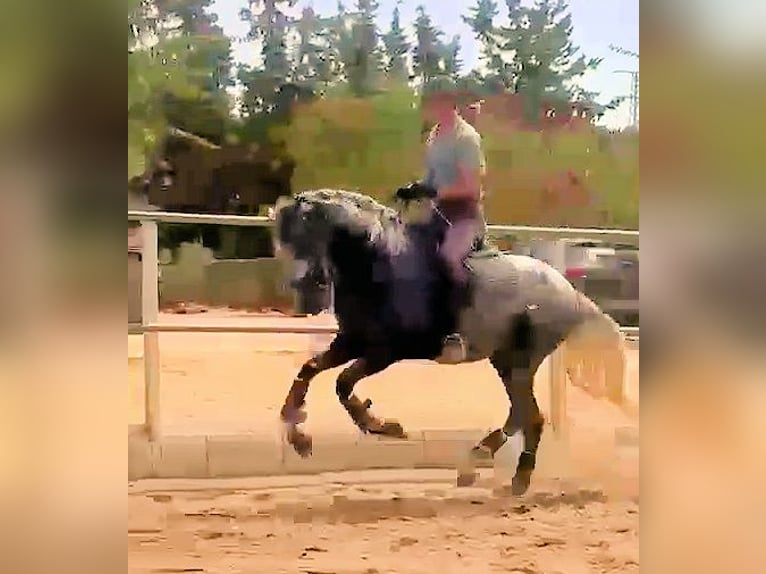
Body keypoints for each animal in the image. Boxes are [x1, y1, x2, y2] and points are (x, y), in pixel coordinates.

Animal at [272, 188, 626, 494]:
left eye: (305, 233)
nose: (303, 286)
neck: (379, 265)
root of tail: (570, 293)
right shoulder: (350, 342)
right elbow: (310, 370)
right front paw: (299, 436)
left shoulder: (386, 351)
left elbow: (343, 383)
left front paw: (383, 425)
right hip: (505, 360)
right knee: (520, 413)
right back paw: (481, 460)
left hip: (521, 360)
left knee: (532, 417)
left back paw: (515, 477)